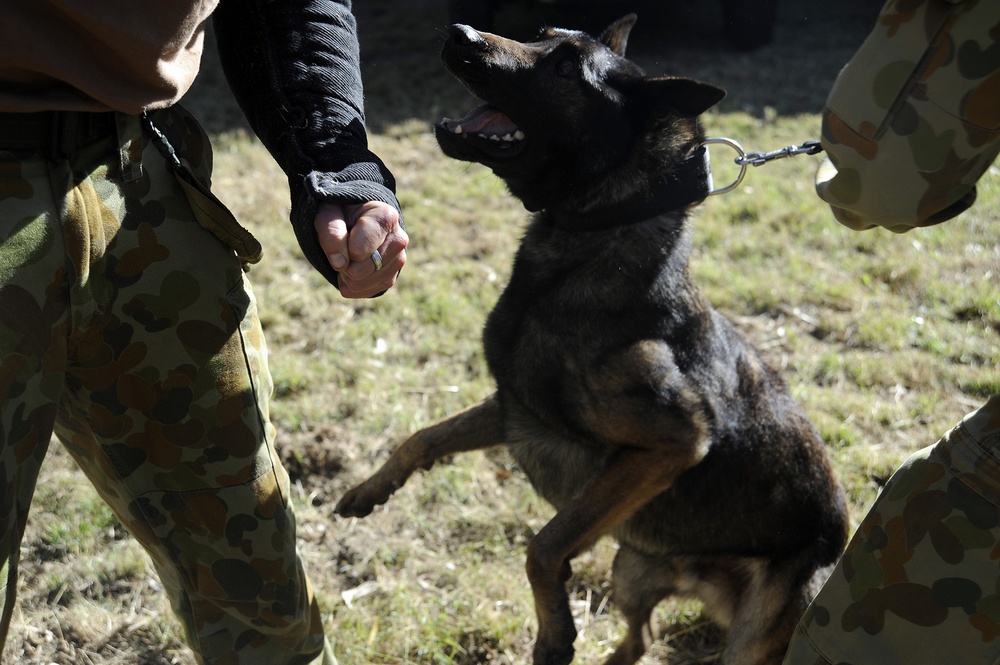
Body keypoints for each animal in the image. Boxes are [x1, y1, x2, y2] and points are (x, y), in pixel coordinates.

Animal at [340, 15, 848, 664]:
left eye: (565, 70)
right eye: (540, 34)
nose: (459, 34)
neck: (592, 238)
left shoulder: (672, 442)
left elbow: (543, 547)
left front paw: (554, 632)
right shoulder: (515, 408)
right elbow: (421, 437)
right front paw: (370, 490)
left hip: (753, 633)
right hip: (630, 569)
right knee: (641, 636)